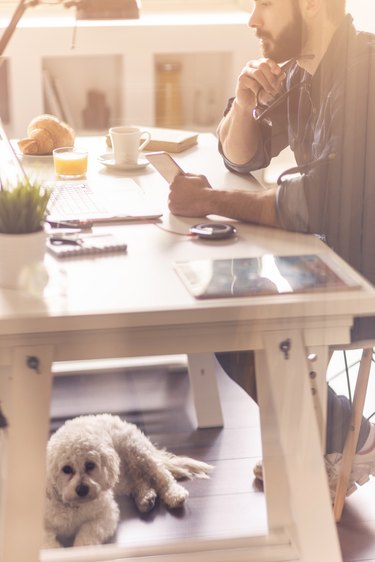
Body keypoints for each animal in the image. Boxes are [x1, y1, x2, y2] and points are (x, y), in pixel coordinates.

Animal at [44, 412, 213, 548]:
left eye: (90, 465)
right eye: (66, 469)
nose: (82, 489)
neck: (74, 506)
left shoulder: (106, 515)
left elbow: (87, 533)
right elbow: (50, 544)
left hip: (137, 451)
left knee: (161, 475)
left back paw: (173, 494)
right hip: (124, 479)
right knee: (140, 480)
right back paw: (145, 498)